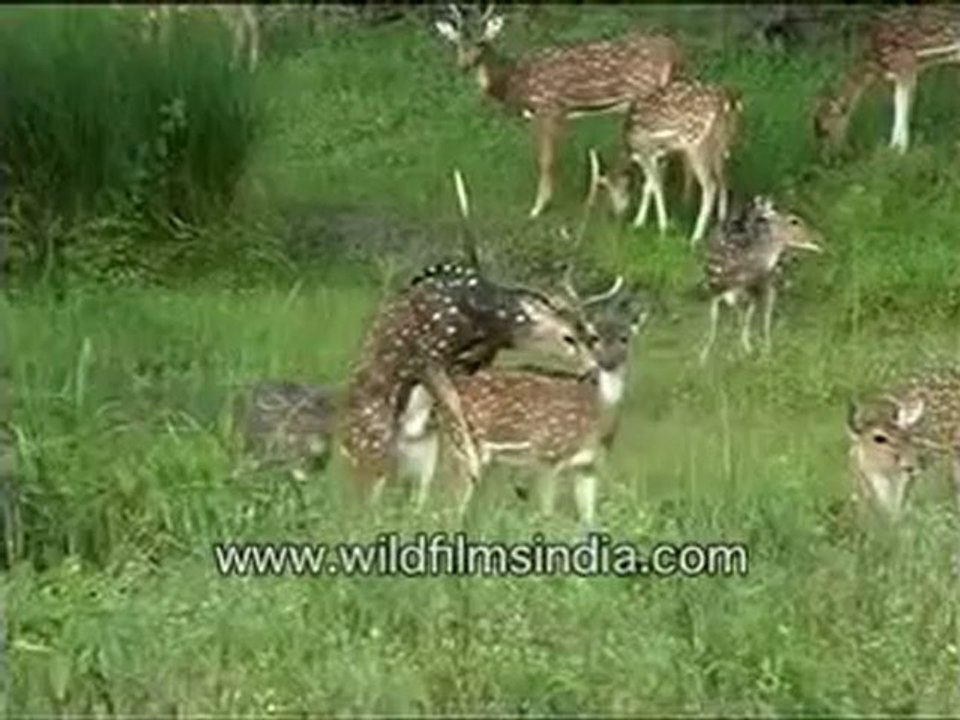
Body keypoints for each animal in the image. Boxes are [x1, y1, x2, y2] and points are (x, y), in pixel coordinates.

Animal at [434, 3, 685, 220]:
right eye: (457, 43)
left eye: (481, 43)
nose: (463, 66)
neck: (514, 81)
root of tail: (673, 52)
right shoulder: (559, 114)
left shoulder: (548, 107)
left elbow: (546, 160)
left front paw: (537, 208)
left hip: (644, 98)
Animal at [594, 78, 744, 246]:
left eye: (611, 188)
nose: (615, 214)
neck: (630, 144)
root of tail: (728, 103)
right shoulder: (662, 154)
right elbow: (649, 186)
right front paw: (639, 222)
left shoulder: (647, 150)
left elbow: (656, 185)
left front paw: (661, 227)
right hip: (724, 144)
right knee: (724, 178)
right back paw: (721, 221)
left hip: (696, 146)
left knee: (710, 185)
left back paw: (695, 237)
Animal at [697, 196, 823, 365]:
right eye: (794, 221)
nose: (818, 237)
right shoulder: (727, 290)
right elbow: (730, 319)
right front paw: (708, 356)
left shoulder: (758, 289)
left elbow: (755, 319)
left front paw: (756, 351)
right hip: (716, 287)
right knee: (718, 316)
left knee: (759, 315)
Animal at [813, 5, 960, 155]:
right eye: (817, 131)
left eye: (825, 130)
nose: (829, 156)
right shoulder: (907, 72)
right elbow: (904, 103)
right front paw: (896, 148)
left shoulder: (905, 65)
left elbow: (900, 105)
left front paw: (897, 150)